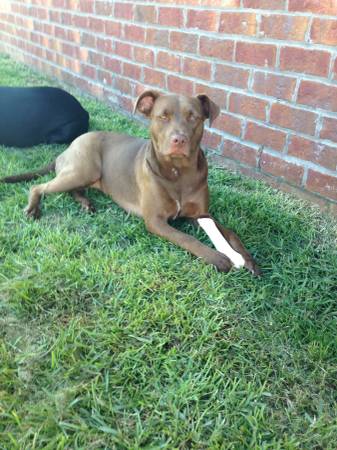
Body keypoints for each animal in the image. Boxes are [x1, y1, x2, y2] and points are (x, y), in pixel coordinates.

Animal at [0, 90, 260, 274]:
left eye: (193, 117)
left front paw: (247, 258)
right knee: (39, 187)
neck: (178, 173)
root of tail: (69, 146)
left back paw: (85, 203)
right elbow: (187, 238)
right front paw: (218, 257)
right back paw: (33, 209)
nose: (179, 139)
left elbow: (230, 232)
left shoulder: (201, 215)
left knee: (72, 190)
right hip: (82, 169)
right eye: (162, 116)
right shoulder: (155, 221)